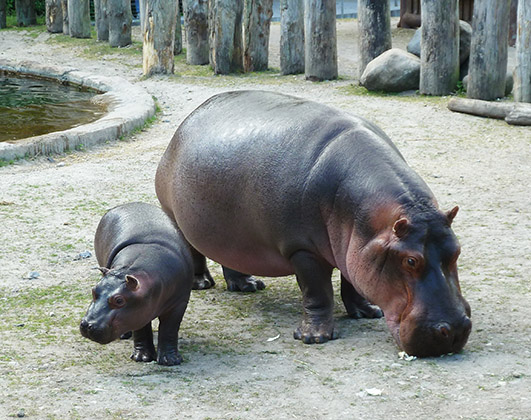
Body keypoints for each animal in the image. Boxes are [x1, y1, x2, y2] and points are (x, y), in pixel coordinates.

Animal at [80, 203, 194, 364]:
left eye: (119, 300)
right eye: (94, 290)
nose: (87, 324)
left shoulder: (179, 302)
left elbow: (169, 329)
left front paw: (170, 361)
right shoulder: (138, 310)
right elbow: (141, 329)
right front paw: (142, 358)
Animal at [155, 90, 474, 356]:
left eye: (457, 250)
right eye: (410, 260)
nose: (454, 330)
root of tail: (190, 118)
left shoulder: (353, 246)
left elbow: (351, 282)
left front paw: (367, 311)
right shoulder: (303, 250)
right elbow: (318, 291)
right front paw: (314, 337)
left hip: (228, 231)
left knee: (230, 256)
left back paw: (248, 285)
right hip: (175, 215)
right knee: (193, 249)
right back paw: (201, 283)